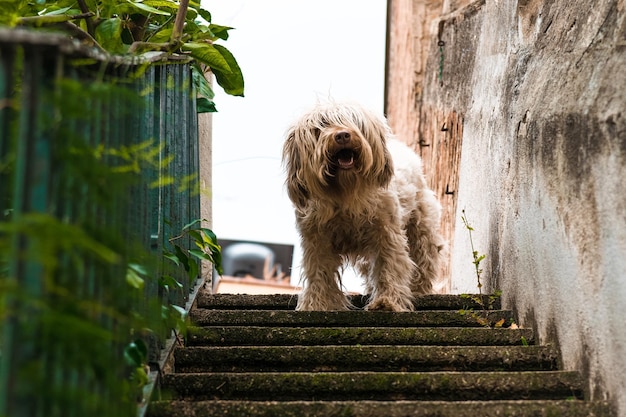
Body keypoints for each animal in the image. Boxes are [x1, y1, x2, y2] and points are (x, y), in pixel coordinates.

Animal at [280, 101, 442, 310]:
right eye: (321, 125)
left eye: (353, 121)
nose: (342, 135)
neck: (345, 194)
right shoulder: (317, 240)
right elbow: (319, 273)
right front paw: (316, 304)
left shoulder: (387, 234)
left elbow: (390, 265)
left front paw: (387, 301)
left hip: (421, 226)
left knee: (424, 258)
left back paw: (419, 290)